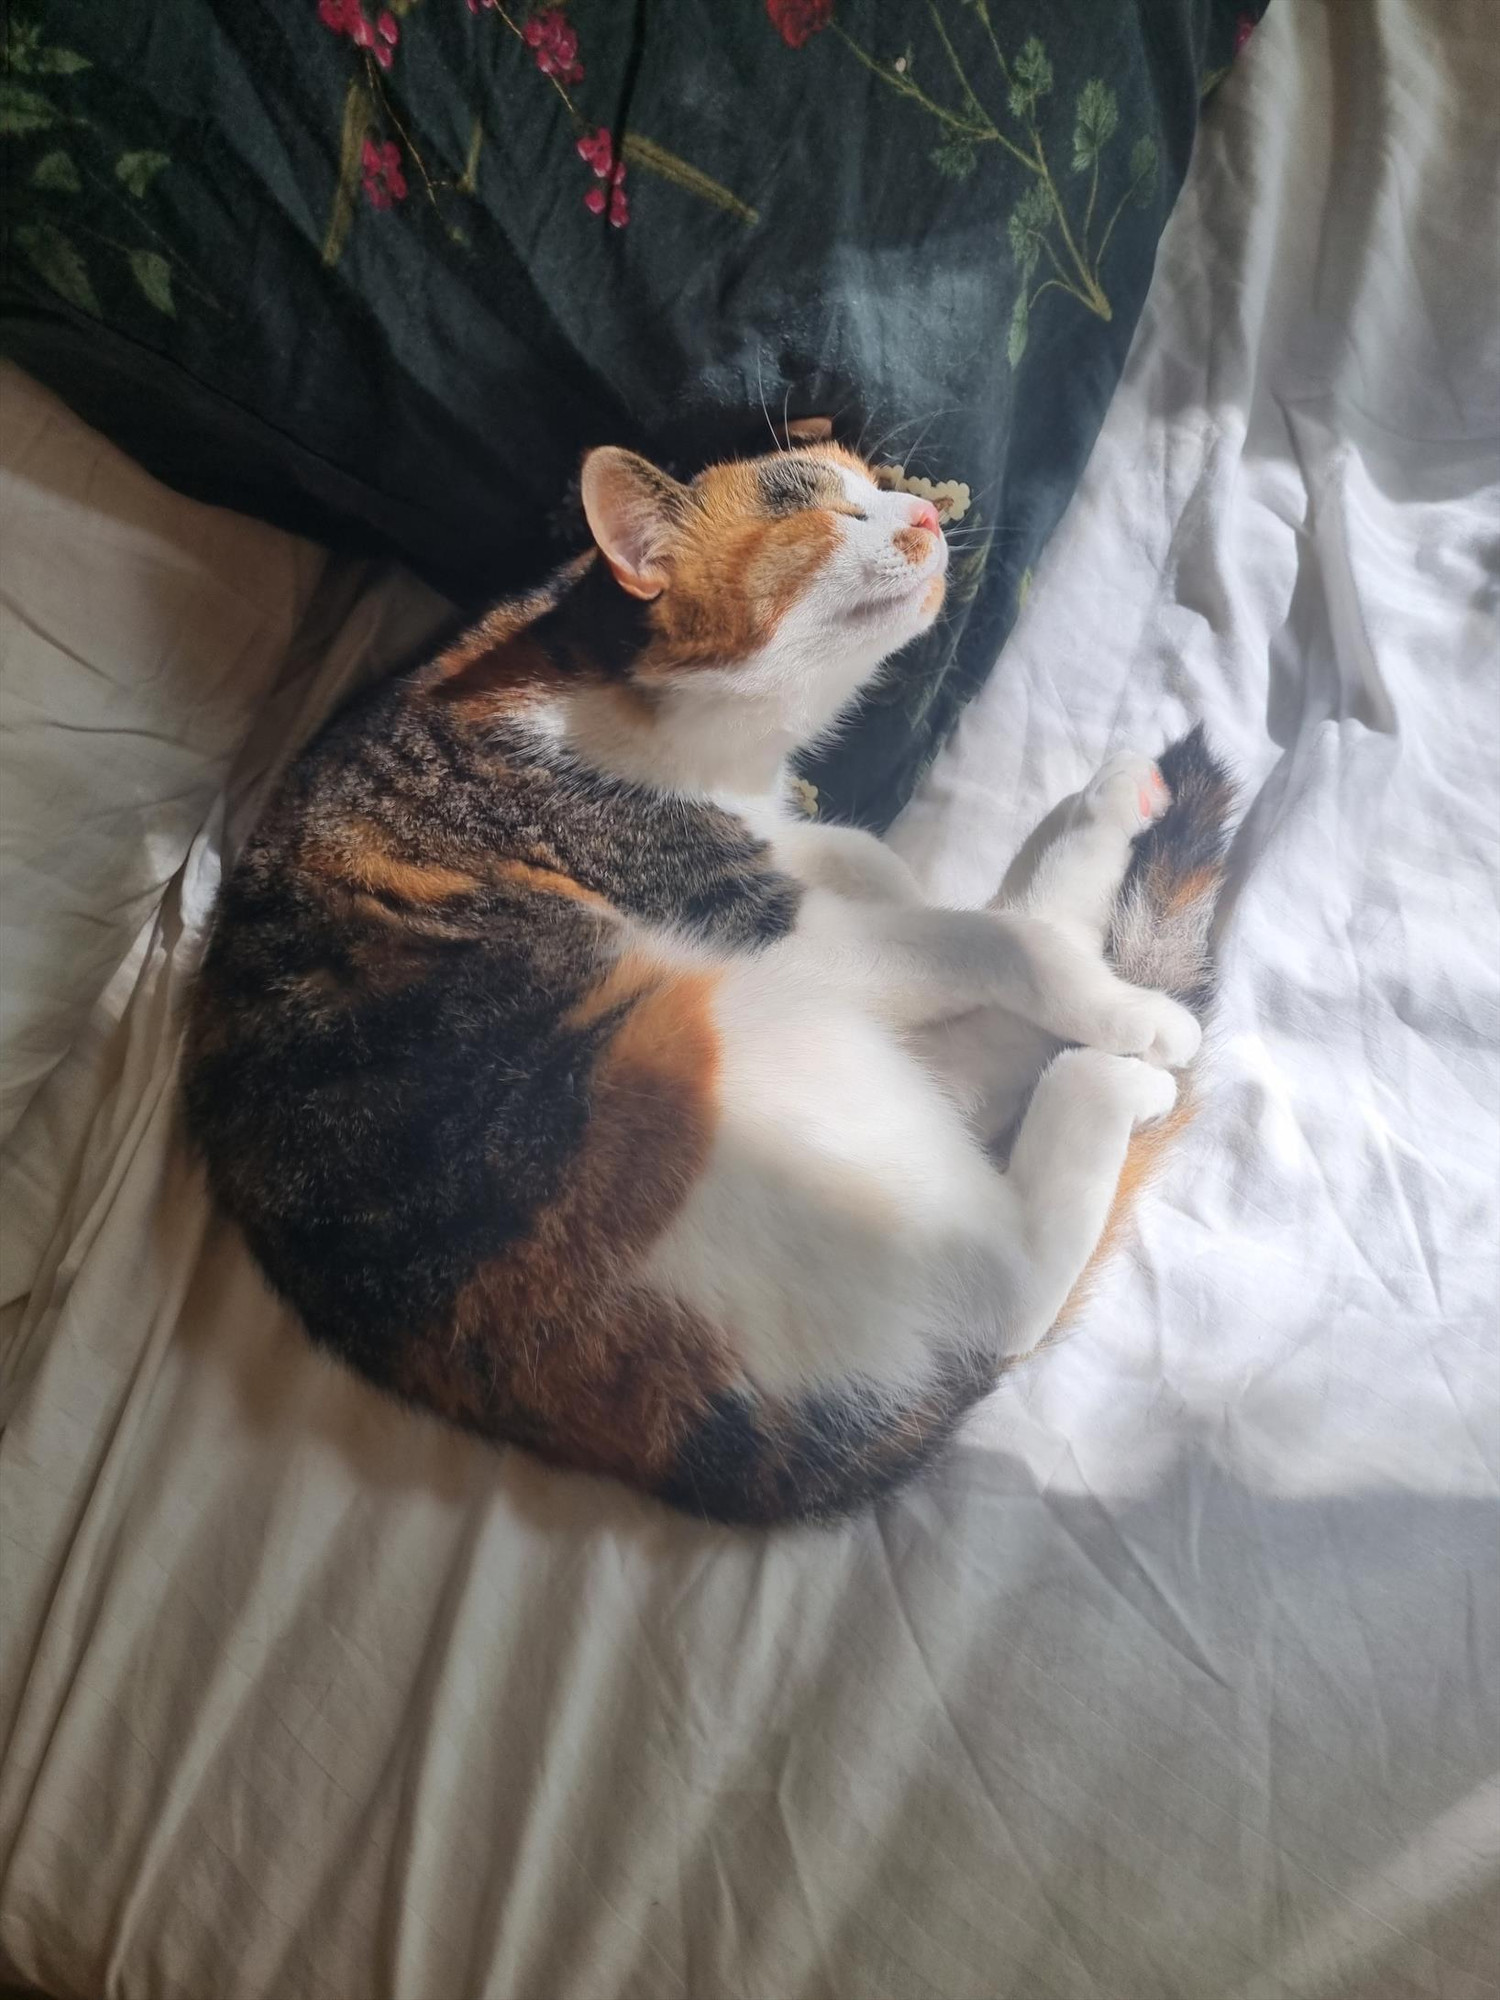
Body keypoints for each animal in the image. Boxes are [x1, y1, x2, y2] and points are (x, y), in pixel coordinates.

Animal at [185, 442, 1232, 1512]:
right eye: (829, 516)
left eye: (878, 484)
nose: (927, 518)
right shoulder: (760, 924)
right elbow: (982, 941)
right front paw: (1107, 1001)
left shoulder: (778, 845)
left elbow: (866, 858)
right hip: (747, 1043)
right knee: (1014, 1275)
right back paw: (1120, 1056)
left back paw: (1115, 823)